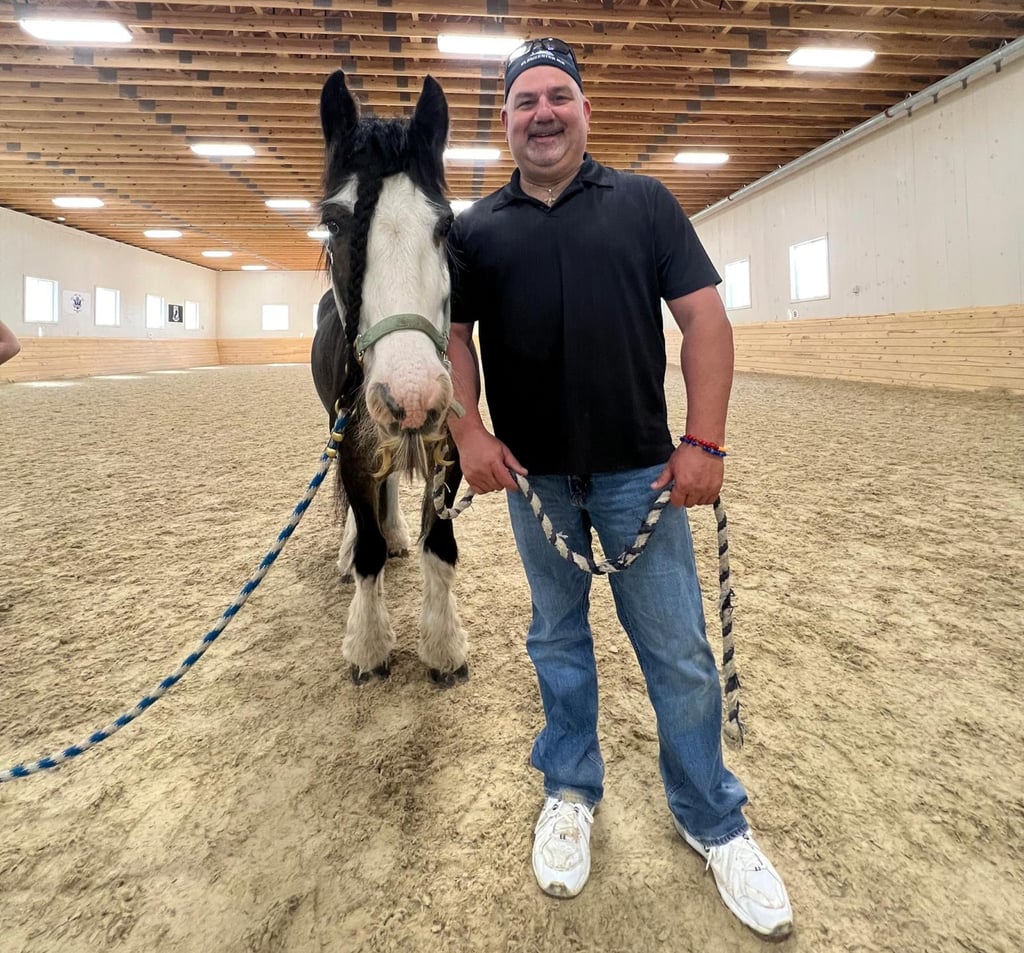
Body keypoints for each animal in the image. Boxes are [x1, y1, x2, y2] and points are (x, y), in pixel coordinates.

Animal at [310, 70, 468, 688]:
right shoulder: (354, 443)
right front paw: (368, 645)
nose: (412, 396)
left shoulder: (450, 446)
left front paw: (444, 646)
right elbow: (368, 549)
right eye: (334, 223)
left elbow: (440, 546)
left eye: (446, 224)